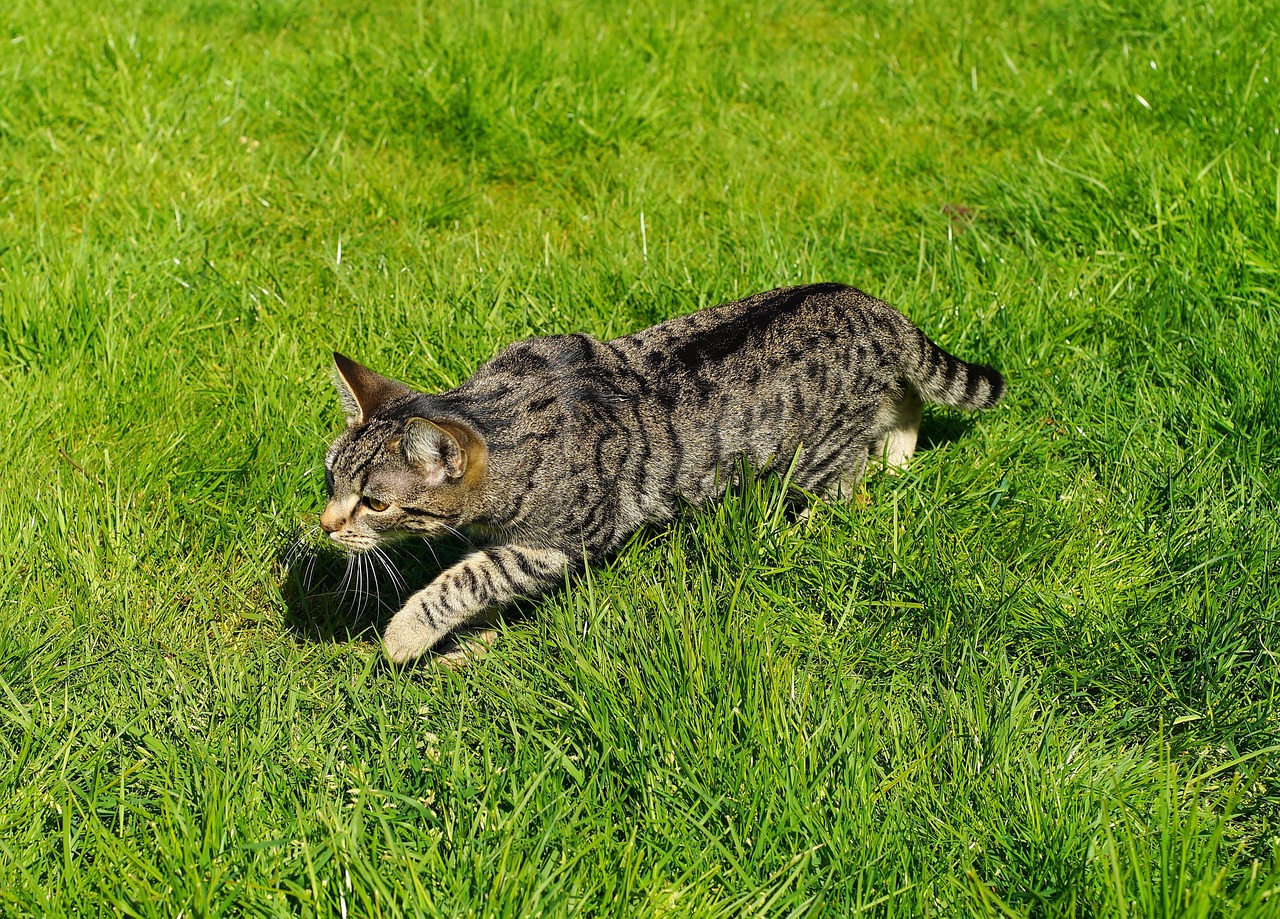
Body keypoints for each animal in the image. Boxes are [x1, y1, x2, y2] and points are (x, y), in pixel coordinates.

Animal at [317, 284, 998, 665]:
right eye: (330, 480)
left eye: (374, 502)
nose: (323, 525)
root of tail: (870, 303)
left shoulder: (560, 542)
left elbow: (465, 580)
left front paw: (406, 634)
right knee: (905, 400)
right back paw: (900, 457)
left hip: (820, 457)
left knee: (848, 490)